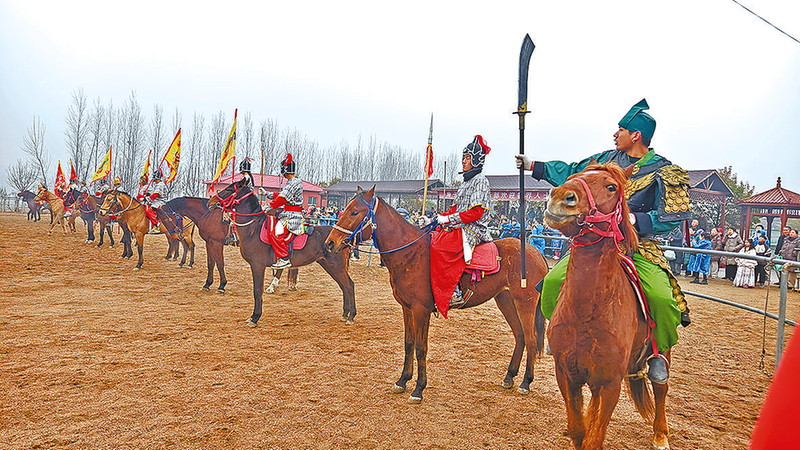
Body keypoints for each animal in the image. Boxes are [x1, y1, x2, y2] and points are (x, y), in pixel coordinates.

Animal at [209, 178, 356, 326]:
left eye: (229, 189)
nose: (211, 201)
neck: (253, 228)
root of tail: (343, 238)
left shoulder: (257, 266)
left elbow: (257, 291)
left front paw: (255, 317)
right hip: (329, 265)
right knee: (344, 286)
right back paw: (345, 314)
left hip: (336, 266)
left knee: (349, 285)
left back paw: (351, 316)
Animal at [324, 186, 552, 404]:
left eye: (354, 212)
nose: (329, 243)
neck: (411, 255)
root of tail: (535, 252)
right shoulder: (407, 308)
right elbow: (408, 344)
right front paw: (402, 380)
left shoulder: (421, 310)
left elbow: (420, 347)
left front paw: (418, 389)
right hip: (505, 300)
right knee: (520, 336)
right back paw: (509, 377)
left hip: (525, 303)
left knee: (531, 339)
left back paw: (525, 382)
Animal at [544, 163, 668, 450]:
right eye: (571, 177)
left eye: (611, 187)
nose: (560, 197)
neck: (587, 312)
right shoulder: (566, 374)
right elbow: (579, 430)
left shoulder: (611, 383)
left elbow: (594, 438)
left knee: (661, 390)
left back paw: (661, 435)